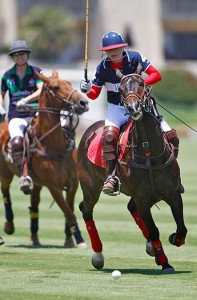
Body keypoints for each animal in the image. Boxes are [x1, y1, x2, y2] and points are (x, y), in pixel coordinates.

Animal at [0, 68, 88, 248]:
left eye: (69, 83)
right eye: (55, 87)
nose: (83, 102)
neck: (56, 146)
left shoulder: (73, 183)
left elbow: (69, 211)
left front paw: (69, 240)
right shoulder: (54, 187)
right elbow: (69, 213)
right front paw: (80, 241)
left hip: (37, 182)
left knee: (34, 206)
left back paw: (34, 238)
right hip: (5, 172)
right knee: (5, 193)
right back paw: (9, 226)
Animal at [77, 73, 187, 274]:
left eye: (141, 83)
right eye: (120, 88)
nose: (133, 108)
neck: (149, 153)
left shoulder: (174, 194)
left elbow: (182, 227)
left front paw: (174, 240)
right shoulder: (143, 199)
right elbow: (154, 230)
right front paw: (165, 262)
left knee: (130, 207)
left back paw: (150, 247)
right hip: (90, 186)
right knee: (86, 209)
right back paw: (98, 256)